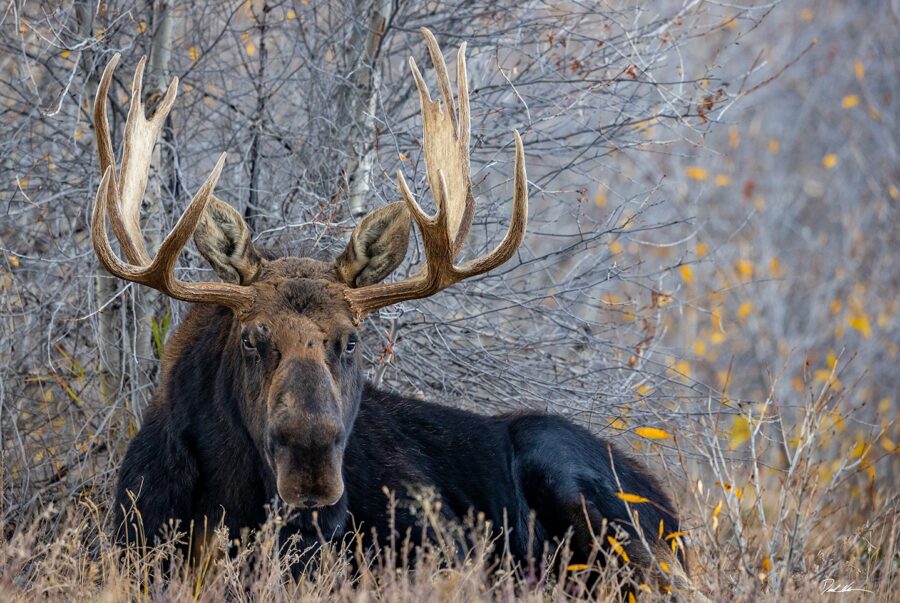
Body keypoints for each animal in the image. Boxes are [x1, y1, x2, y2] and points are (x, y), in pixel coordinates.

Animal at [91, 28, 692, 588]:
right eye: (250, 338)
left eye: (351, 339)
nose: (311, 466)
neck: (230, 502)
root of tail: (668, 507)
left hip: (585, 491)